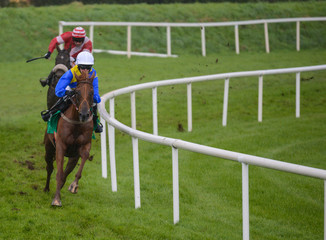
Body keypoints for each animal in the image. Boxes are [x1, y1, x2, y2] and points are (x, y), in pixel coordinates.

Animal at [43, 70, 95, 206]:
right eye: (77, 92)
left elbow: (84, 157)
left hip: (73, 157)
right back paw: (47, 188)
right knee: (49, 168)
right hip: (49, 147)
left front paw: (74, 186)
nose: (84, 114)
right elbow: (59, 173)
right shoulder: (60, 146)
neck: (76, 123)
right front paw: (56, 199)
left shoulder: (84, 146)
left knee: (65, 173)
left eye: (92, 92)